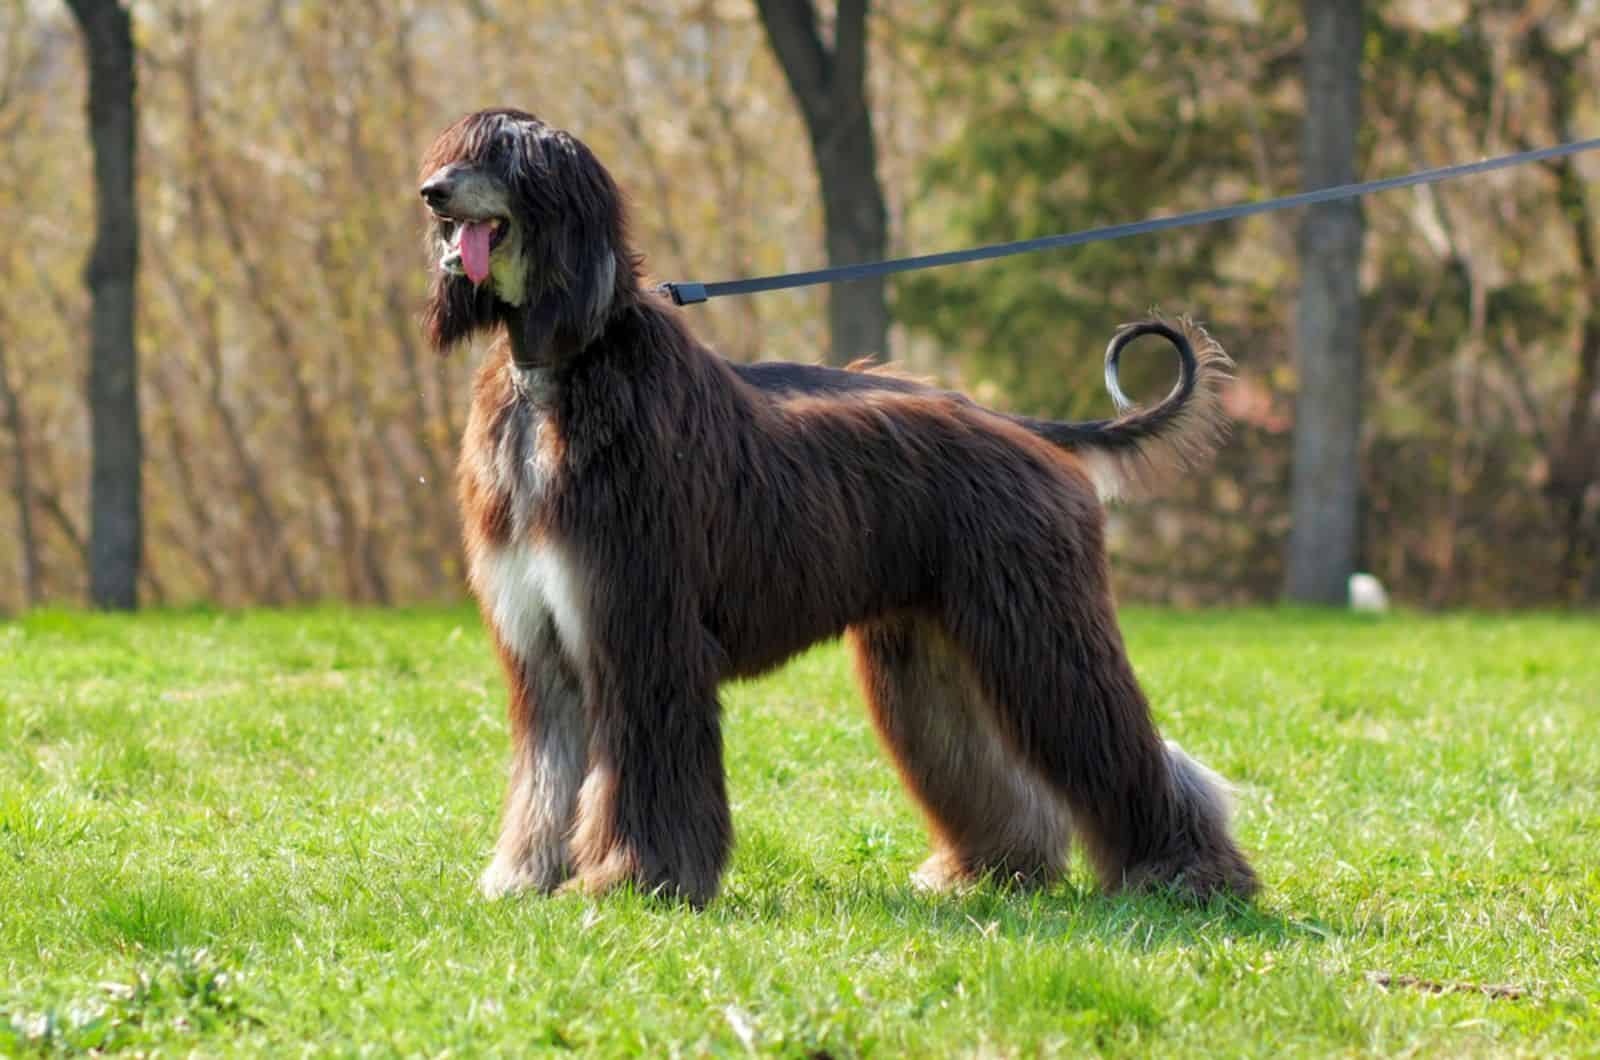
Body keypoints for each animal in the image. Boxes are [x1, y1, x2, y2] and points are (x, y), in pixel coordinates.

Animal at [419, 105, 1254, 903]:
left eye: (503, 156)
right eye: (452, 152)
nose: (430, 194)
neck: (563, 368)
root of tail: (1018, 425)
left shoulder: (641, 626)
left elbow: (644, 770)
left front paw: (635, 878)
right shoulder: (543, 642)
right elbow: (547, 773)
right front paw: (524, 875)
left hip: (1040, 625)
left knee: (1115, 738)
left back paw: (1189, 873)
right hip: (926, 643)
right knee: (982, 758)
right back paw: (990, 870)